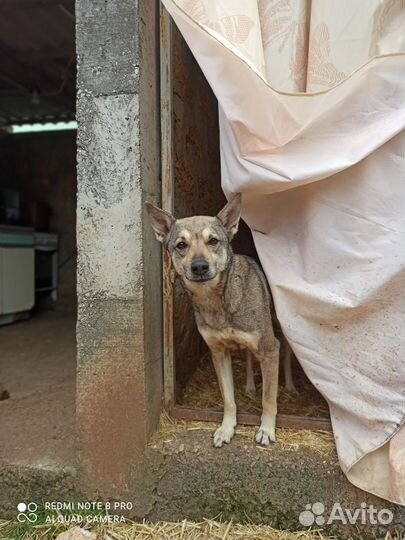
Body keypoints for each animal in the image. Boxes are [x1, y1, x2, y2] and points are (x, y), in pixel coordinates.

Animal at [147, 194, 292, 448]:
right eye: (181, 245)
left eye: (213, 241)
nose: (200, 267)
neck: (217, 301)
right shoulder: (218, 353)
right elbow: (228, 399)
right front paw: (226, 429)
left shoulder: (268, 348)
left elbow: (268, 399)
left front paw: (266, 430)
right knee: (248, 358)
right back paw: (249, 387)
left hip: (279, 335)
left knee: (286, 356)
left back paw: (290, 386)